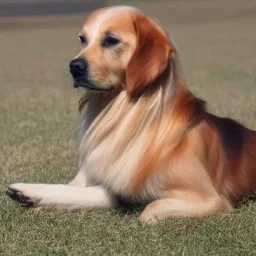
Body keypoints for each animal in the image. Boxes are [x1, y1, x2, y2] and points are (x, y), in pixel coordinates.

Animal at [7, 5, 255, 223]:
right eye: (82, 39)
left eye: (111, 40)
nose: (74, 66)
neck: (124, 113)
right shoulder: (107, 184)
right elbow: (71, 191)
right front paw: (27, 193)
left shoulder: (210, 199)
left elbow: (149, 211)